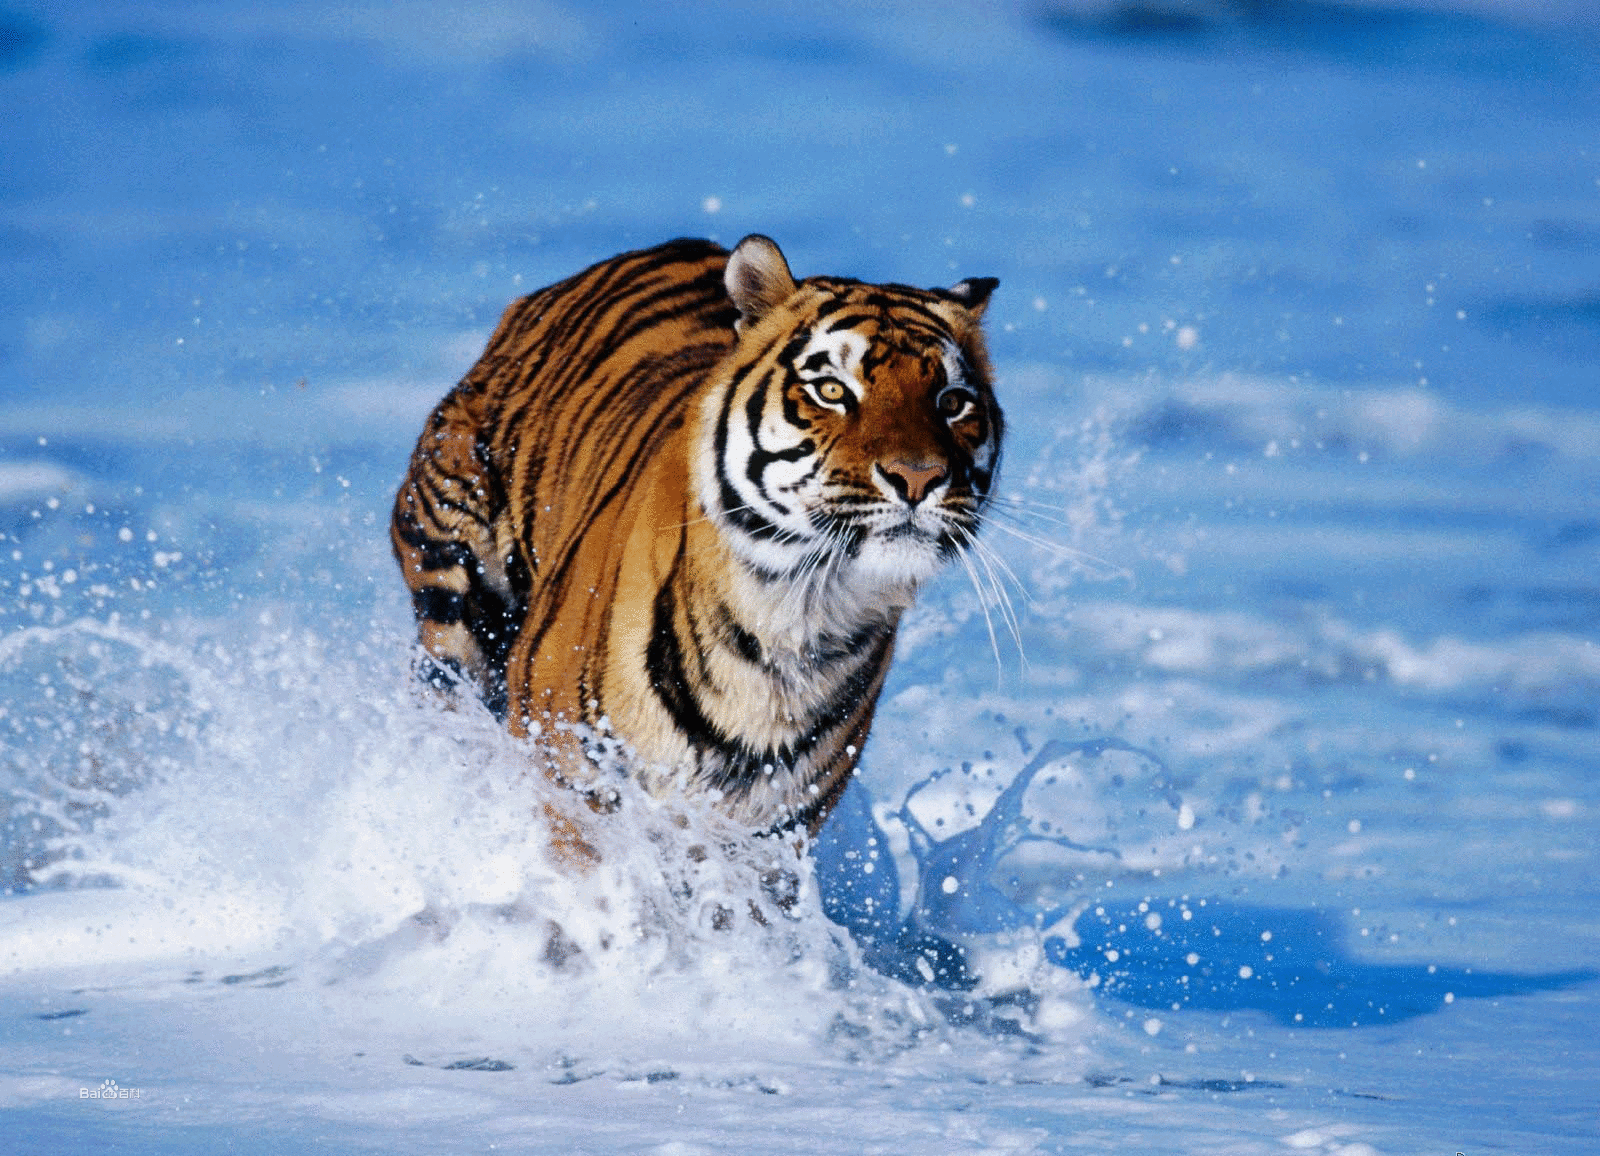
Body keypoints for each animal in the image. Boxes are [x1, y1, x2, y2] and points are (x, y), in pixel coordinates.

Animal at [390, 236, 998, 838]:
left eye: (952, 402)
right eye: (831, 390)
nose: (918, 476)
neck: (797, 618)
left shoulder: (774, 831)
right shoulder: (572, 780)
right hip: (454, 595)